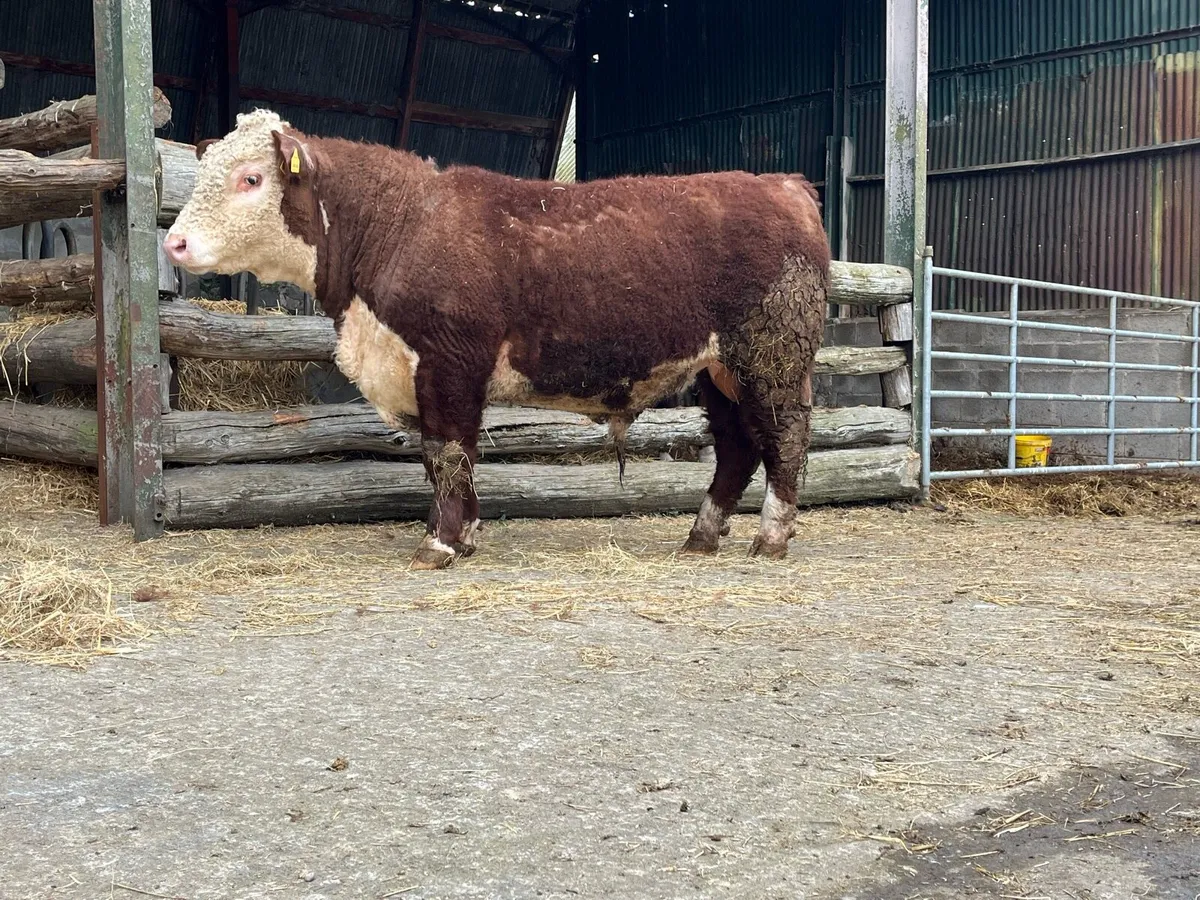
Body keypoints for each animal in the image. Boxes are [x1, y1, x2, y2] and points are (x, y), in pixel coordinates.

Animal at [164, 110, 830, 570]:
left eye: (251, 178)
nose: (174, 242)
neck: (398, 225)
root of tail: (784, 184)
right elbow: (447, 459)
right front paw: (466, 534)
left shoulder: (449, 363)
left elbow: (446, 452)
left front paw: (439, 544)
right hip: (718, 368)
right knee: (737, 445)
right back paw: (700, 537)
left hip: (770, 351)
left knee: (785, 436)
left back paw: (770, 537)